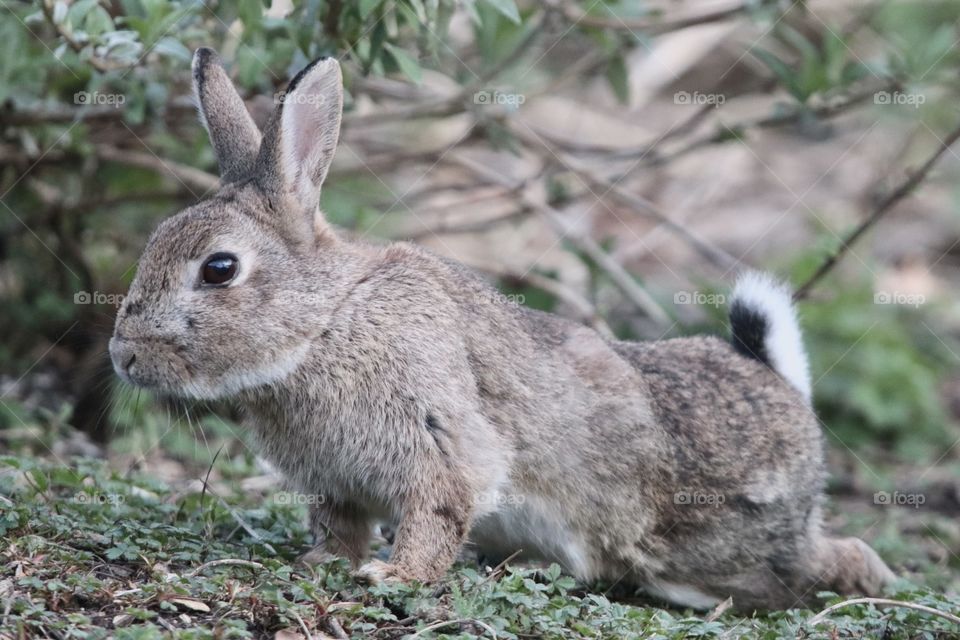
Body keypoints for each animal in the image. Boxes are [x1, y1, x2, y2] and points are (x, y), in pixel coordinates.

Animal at [108, 48, 896, 612]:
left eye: (219, 269)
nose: (123, 356)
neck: (326, 322)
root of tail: (784, 390)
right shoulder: (335, 486)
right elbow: (340, 529)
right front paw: (320, 565)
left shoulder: (438, 438)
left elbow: (439, 510)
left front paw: (393, 577)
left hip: (737, 545)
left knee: (827, 558)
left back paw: (875, 581)